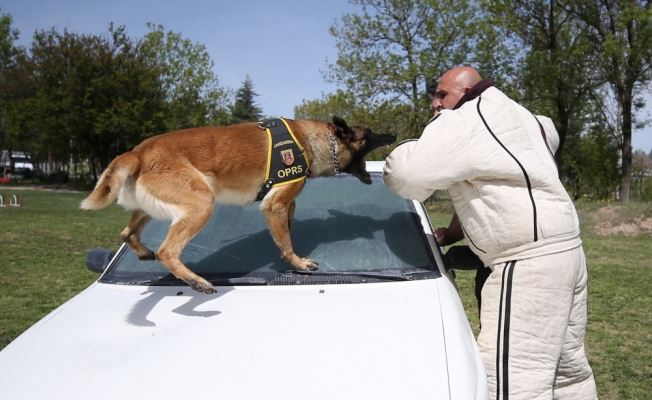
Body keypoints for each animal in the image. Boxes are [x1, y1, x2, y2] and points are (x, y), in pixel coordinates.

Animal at [81, 115, 398, 294]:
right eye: (370, 134)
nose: (394, 134)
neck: (313, 141)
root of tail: (138, 151)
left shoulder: (284, 203)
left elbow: (286, 230)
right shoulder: (275, 205)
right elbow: (286, 243)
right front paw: (297, 262)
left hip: (151, 209)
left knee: (127, 233)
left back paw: (145, 253)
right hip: (202, 202)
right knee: (167, 251)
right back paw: (196, 281)